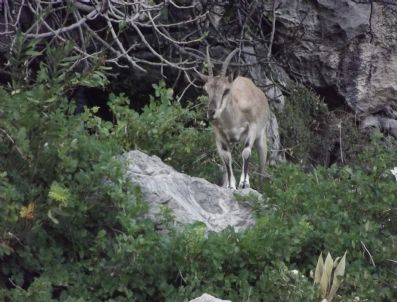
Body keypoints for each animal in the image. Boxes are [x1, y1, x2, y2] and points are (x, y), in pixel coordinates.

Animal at [197, 47, 270, 189]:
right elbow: (226, 157)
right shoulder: (219, 134)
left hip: (261, 138)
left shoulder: (252, 128)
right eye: (206, 90)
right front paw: (230, 185)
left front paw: (244, 183)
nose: (211, 113)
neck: (233, 120)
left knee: (261, 167)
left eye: (226, 90)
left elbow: (246, 152)